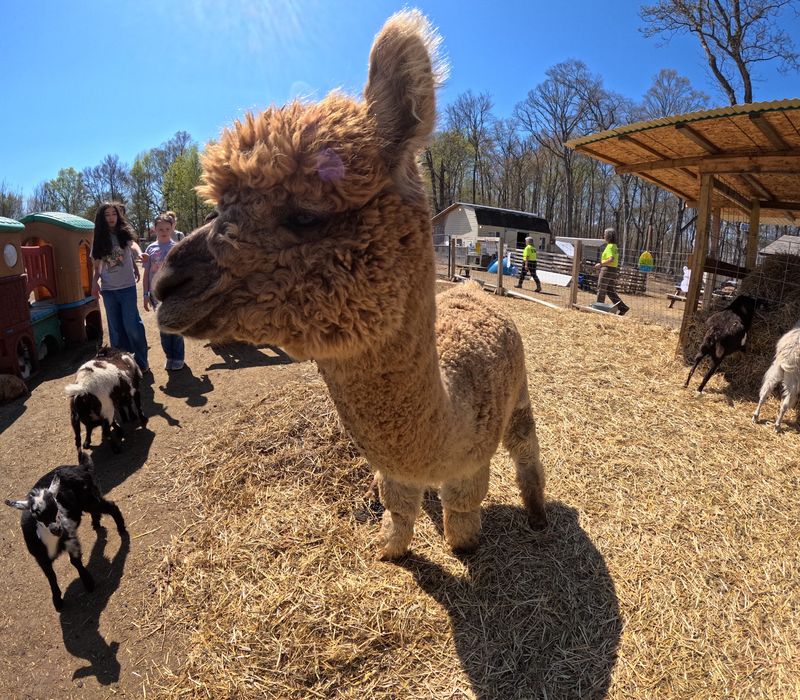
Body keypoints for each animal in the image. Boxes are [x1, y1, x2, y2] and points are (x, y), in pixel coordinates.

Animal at [5, 451, 127, 611]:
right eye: (35, 515)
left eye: (57, 506)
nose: (57, 529)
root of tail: (80, 467)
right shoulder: (40, 557)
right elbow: (51, 576)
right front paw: (57, 601)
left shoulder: (70, 539)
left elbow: (75, 562)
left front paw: (88, 583)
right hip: (87, 502)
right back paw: (96, 523)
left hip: (90, 499)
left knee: (111, 506)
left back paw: (121, 529)